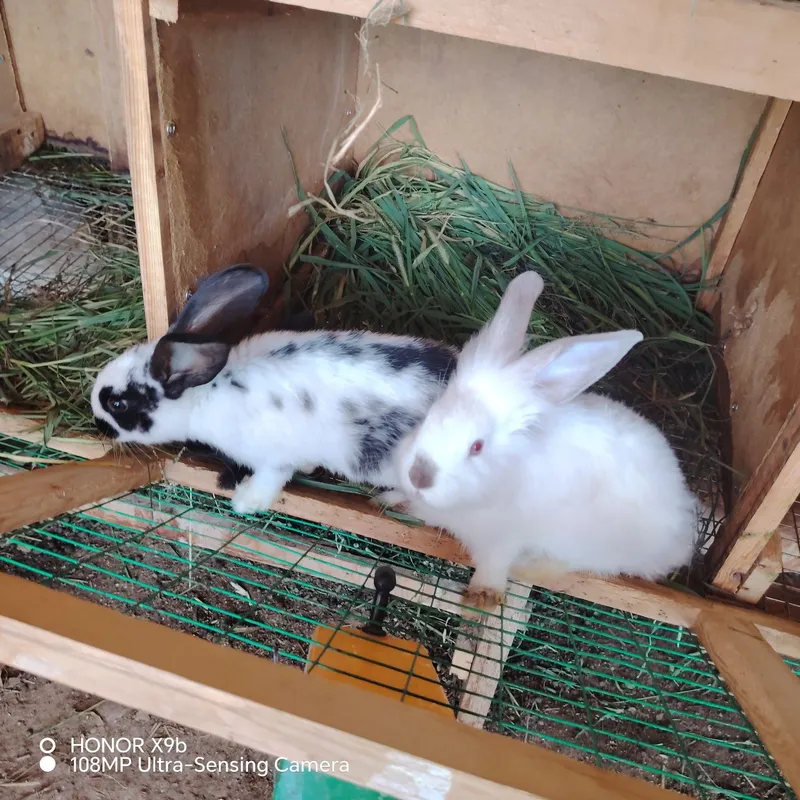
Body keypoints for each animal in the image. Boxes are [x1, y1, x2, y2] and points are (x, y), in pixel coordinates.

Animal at [91, 263, 458, 515]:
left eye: (117, 404)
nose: (98, 426)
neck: (208, 391)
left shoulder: (272, 459)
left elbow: (270, 481)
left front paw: (244, 502)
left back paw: (387, 499)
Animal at [383, 271, 696, 612]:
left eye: (477, 447)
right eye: (429, 416)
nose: (419, 476)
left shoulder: (506, 537)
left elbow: (495, 564)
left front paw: (483, 596)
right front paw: (388, 499)